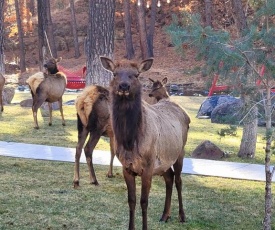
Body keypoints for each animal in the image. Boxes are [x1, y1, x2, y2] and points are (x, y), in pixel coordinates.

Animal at [100, 56, 191, 230]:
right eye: (115, 73)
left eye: (136, 74)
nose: (124, 86)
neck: (130, 142)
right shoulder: (127, 167)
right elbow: (131, 201)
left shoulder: (148, 166)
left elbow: (144, 201)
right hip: (163, 162)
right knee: (169, 178)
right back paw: (165, 215)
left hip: (180, 152)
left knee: (178, 180)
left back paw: (182, 216)